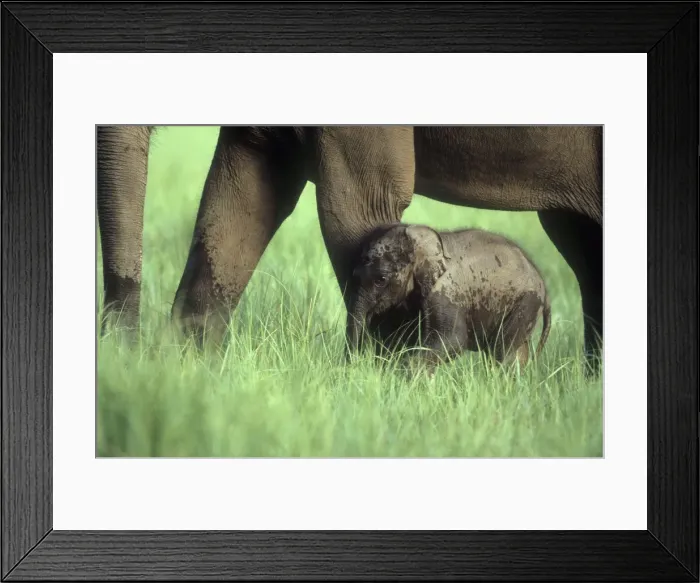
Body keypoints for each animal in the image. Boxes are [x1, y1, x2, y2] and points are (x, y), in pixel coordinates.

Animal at [346, 223, 552, 369]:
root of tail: (542, 282)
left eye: (381, 280)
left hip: (526, 302)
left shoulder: (446, 291)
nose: (353, 363)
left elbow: (453, 339)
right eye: (355, 274)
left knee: (502, 351)